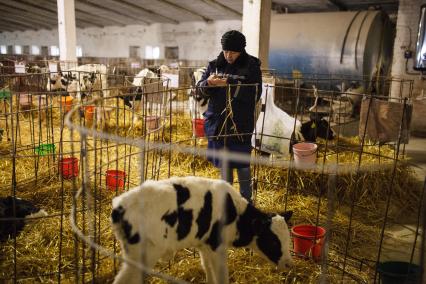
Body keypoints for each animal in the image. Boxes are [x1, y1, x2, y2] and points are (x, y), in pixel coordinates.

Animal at [111, 176, 294, 282]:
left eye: (288, 239)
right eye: (272, 241)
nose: (289, 264)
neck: (236, 214)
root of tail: (120, 206)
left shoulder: (203, 245)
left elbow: (208, 270)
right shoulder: (216, 246)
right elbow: (221, 275)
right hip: (144, 254)